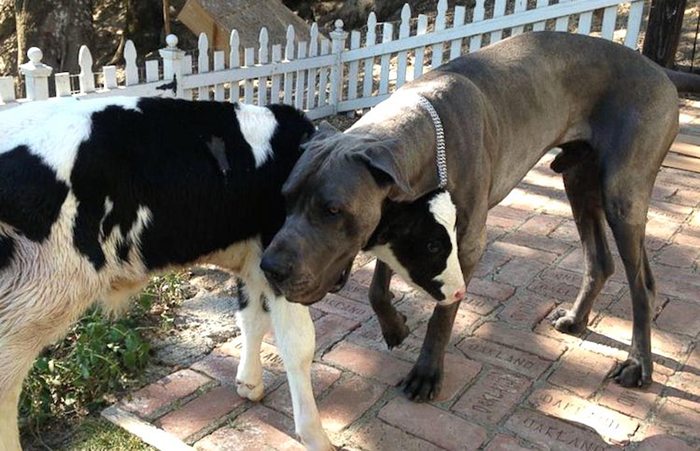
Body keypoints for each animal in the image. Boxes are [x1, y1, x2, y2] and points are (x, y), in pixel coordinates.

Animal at [0, 99, 334, 451]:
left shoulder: (256, 260)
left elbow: (252, 319)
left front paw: (249, 383)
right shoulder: (279, 259)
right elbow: (299, 344)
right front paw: (315, 435)